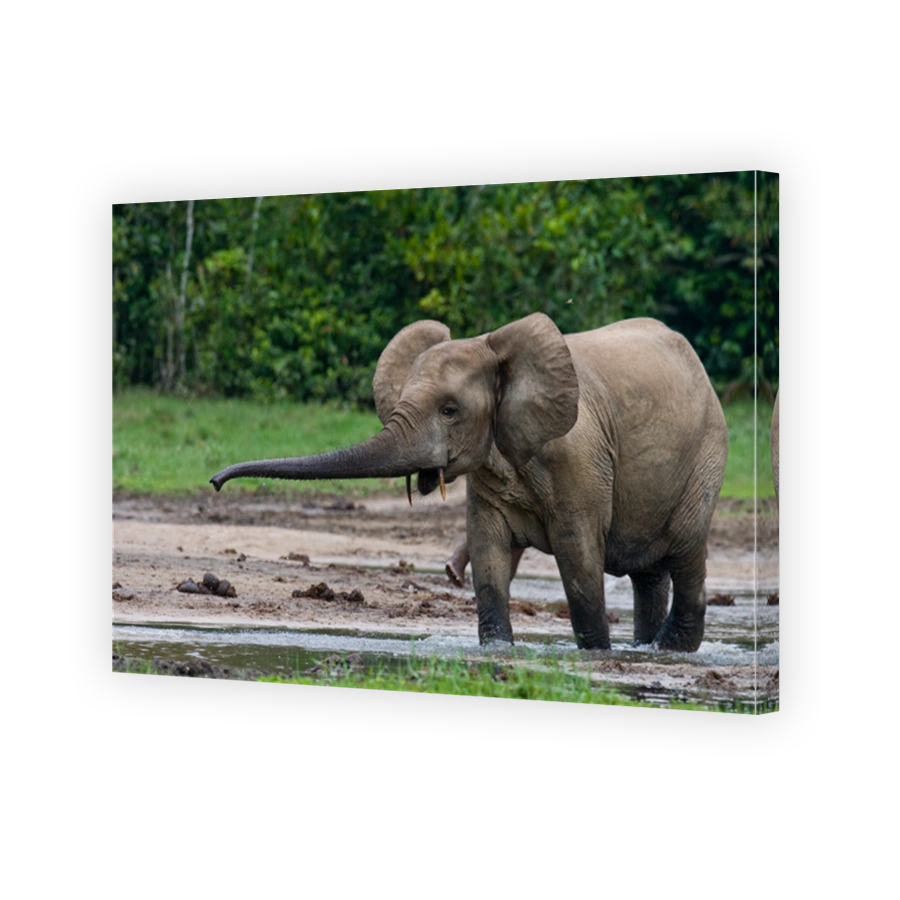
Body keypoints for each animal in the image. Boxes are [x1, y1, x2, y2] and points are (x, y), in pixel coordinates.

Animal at [211, 313, 728, 651]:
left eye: (449, 410)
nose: (215, 482)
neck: (495, 349)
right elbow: (489, 551)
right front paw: (497, 650)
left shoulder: (580, 460)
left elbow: (578, 553)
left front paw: (595, 653)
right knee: (650, 573)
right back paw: (647, 647)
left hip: (706, 452)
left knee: (685, 548)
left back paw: (670, 649)